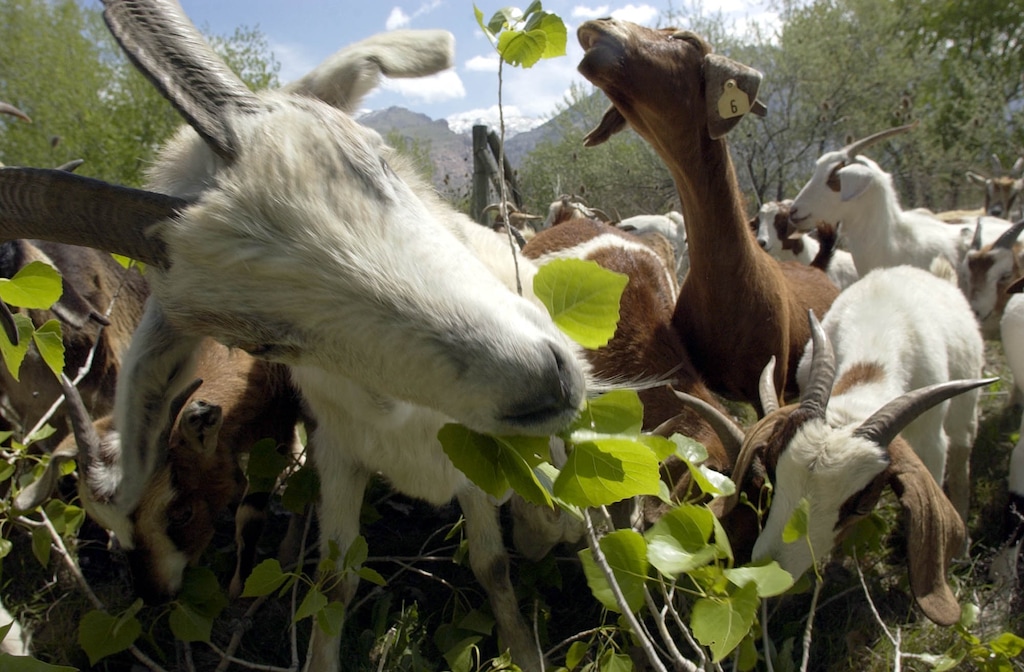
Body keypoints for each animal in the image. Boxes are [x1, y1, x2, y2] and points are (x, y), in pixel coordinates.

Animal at [0, 5, 586, 671]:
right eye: (262, 342)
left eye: (376, 161)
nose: (543, 381)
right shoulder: (337, 451)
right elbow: (336, 583)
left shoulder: (474, 472)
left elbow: (494, 565)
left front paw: (526, 636)